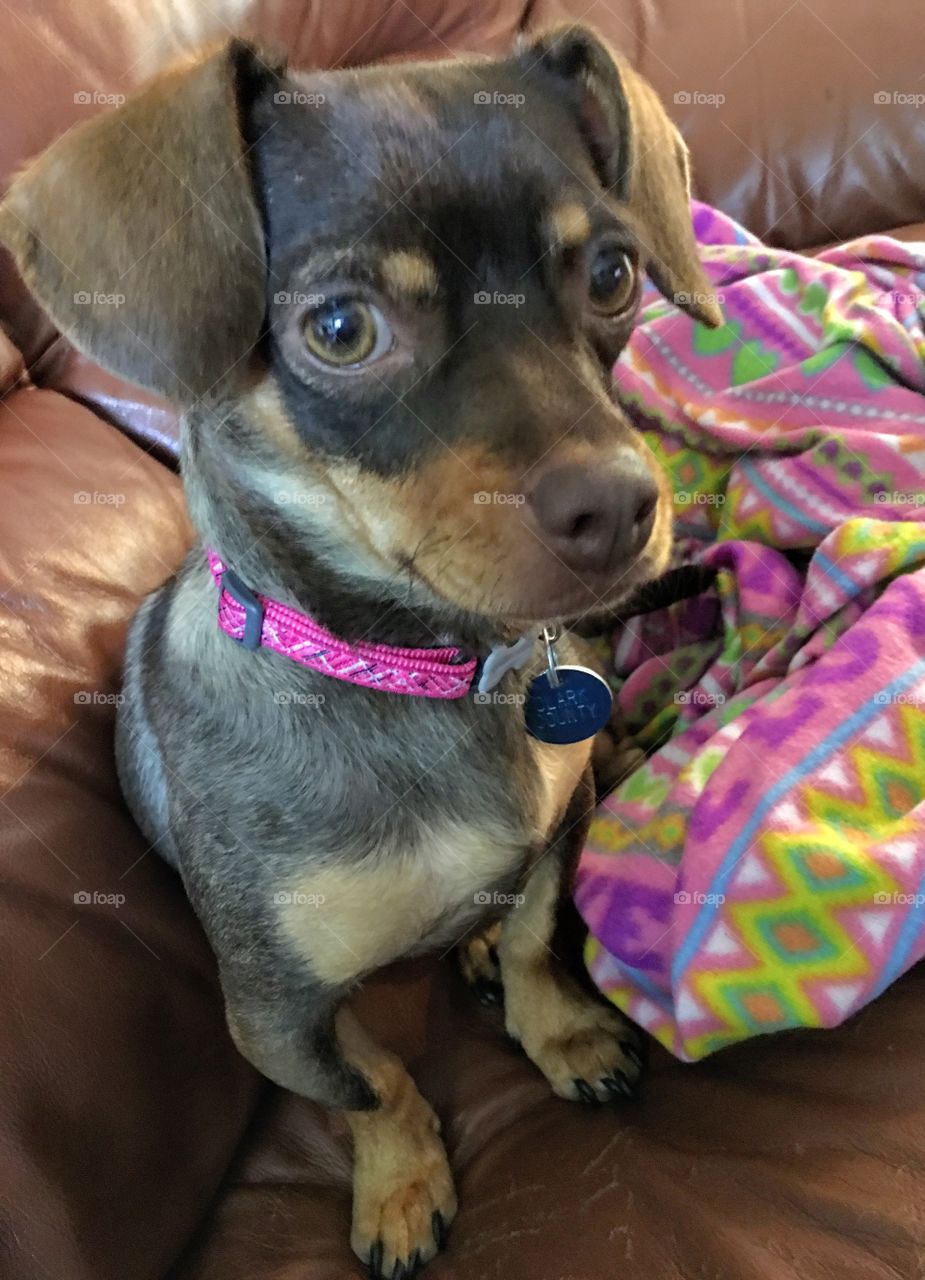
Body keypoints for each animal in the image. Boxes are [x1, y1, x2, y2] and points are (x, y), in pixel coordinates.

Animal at [0, 27, 721, 1269]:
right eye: (340, 330)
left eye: (613, 276)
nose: (624, 507)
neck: (426, 670)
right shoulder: (274, 1014)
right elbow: (372, 1082)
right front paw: (399, 1181)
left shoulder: (560, 825)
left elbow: (535, 936)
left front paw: (561, 1030)